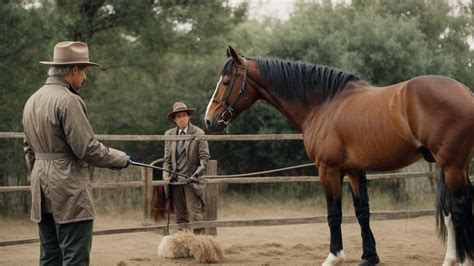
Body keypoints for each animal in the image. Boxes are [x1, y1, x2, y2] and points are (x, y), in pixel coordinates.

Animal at [205, 46, 474, 264]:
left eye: (226, 82)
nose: (209, 120)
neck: (324, 104)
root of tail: (466, 92)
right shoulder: (355, 170)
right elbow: (362, 212)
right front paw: (369, 257)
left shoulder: (328, 169)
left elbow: (334, 214)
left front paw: (334, 257)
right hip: (449, 166)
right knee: (450, 212)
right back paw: (450, 259)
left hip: (452, 166)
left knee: (460, 208)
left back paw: (460, 260)